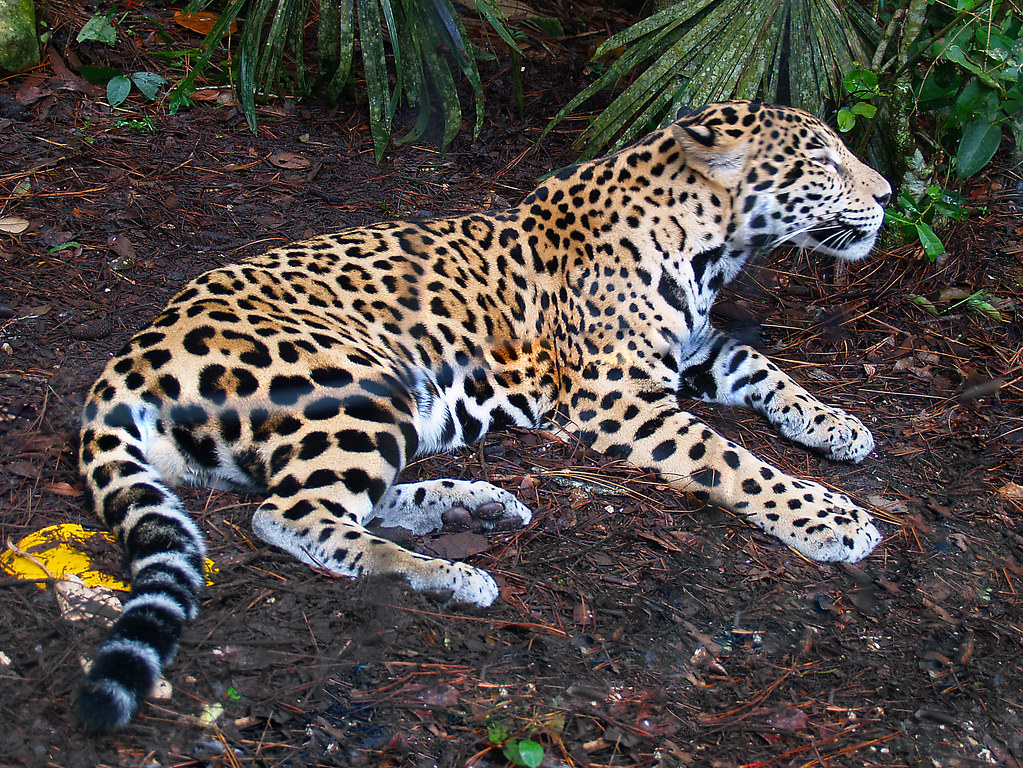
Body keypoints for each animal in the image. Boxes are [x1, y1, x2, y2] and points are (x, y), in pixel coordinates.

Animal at [77, 101, 891, 732]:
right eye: (822, 158)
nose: (885, 194)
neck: (713, 250)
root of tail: (128, 361)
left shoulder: (695, 349)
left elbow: (764, 370)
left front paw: (836, 424)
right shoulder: (616, 398)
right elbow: (730, 460)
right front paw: (827, 518)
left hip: (386, 409)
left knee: (332, 496)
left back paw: (475, 506)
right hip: (361, 382)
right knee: (290, 514)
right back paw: (452, 576)